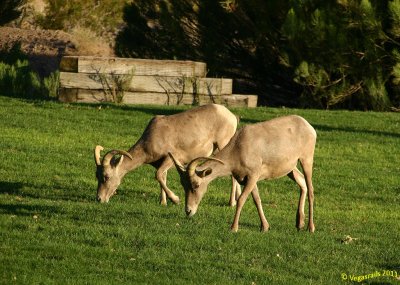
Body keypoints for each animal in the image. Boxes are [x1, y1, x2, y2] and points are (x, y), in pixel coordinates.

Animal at [93, 104, 241, 204]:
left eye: (106, 176)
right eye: (97, 176)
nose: (99, 198)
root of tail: (232, 117)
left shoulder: (171, 158)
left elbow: (158, 175)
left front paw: (175, 199)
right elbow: (162, 177)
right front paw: (163, 202)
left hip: (223, 144)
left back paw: (231, 203)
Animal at [170, 114, 318, 232]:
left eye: (196, 185)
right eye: (183, 184)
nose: (188, 211)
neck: (238, 148)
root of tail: (309, 127)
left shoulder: (253, 175)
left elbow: (241, 199)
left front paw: (234, 228)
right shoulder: (248, 179)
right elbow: (257, 199)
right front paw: (264, 227)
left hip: (306, 159)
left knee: (310, 188)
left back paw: (310, 228)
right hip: (290, 168)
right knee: (302, 182)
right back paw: (299, 223)